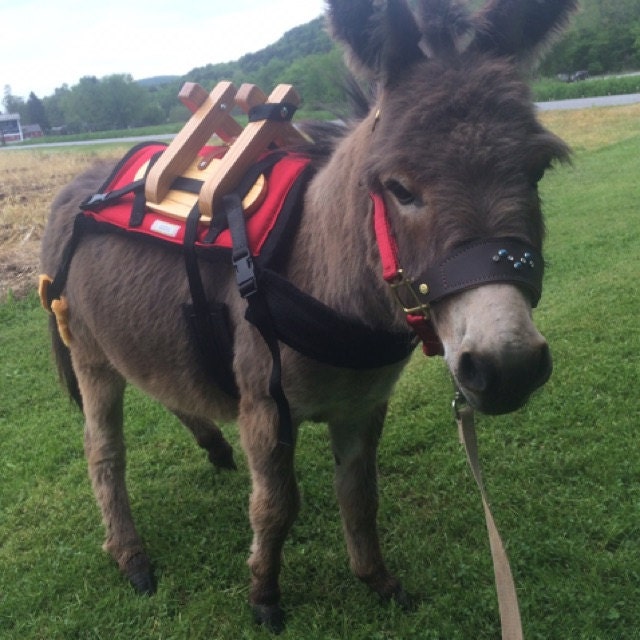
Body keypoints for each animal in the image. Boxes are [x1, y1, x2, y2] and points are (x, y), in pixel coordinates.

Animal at [40, 0, 576, 632]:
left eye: (538, 171)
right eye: (399, 188)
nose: (507, 367)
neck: (330, 282)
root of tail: (76, 185)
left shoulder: (363, 405)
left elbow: (360, 496)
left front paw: (376, 580)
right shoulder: (266, 407)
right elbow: (276, 506)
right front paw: (265, 595)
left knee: (165, 387)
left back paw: (211, 449)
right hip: (91, 357)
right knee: (103, 453)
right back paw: (132, 558)